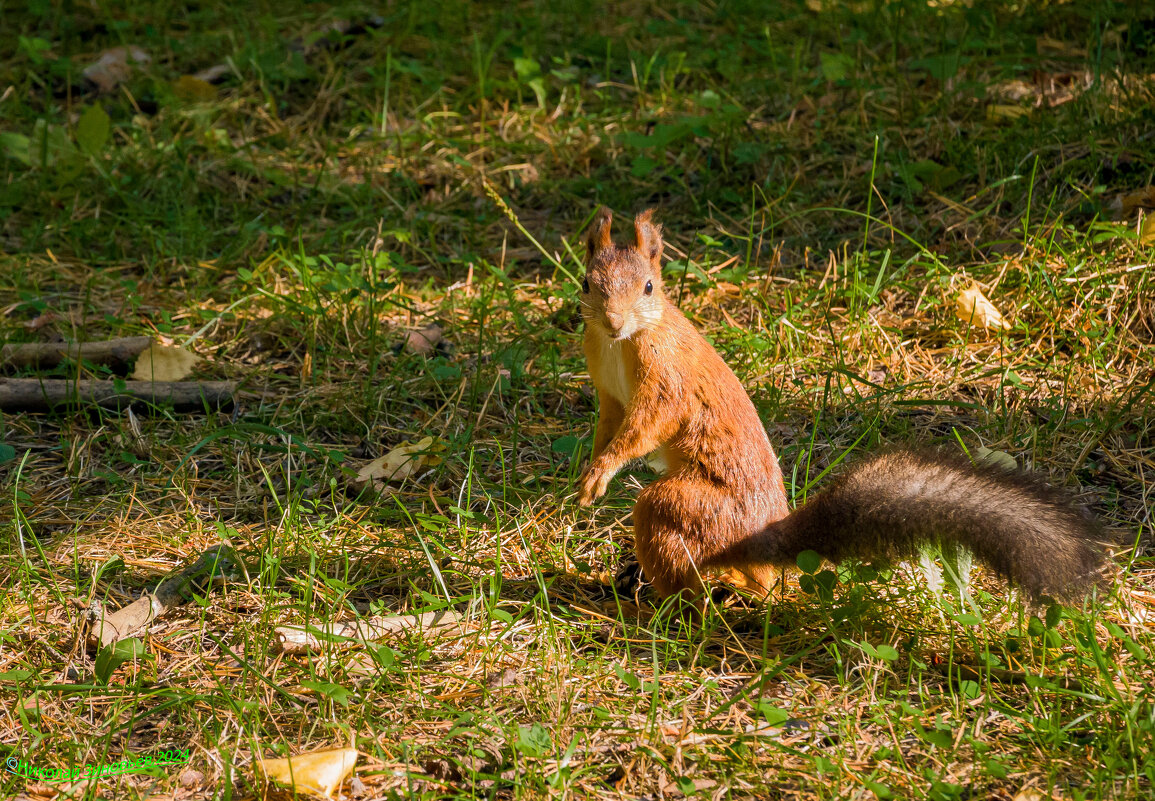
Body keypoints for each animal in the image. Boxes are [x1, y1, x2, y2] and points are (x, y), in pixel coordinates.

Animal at [577, 210, 1108, 604]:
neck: (624, 344)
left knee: (683, 546)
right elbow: (610, 423)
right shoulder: (608, 389)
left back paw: (672, 602)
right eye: (586, 283)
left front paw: (603, 470)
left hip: (691, 507)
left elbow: (648, 424)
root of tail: (754, 538)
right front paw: (589, 473)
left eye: (649, 286)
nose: (613, 321)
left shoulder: (667, 377)